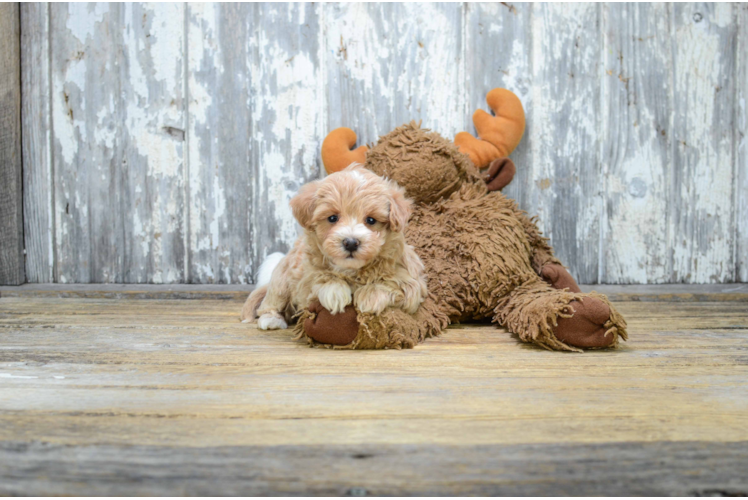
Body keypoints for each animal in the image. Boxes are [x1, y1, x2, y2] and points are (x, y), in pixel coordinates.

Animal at [241, 162, 426, 330]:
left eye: (371, 220)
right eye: (332, 218)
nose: (350, 242)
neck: (351, 270)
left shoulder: (411, 281)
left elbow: (393, 284)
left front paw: (369, 296)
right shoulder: (304, 279)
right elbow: (319, 278)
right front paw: (335, 291)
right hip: (282, 278)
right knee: (272, 301)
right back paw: (271, 320)